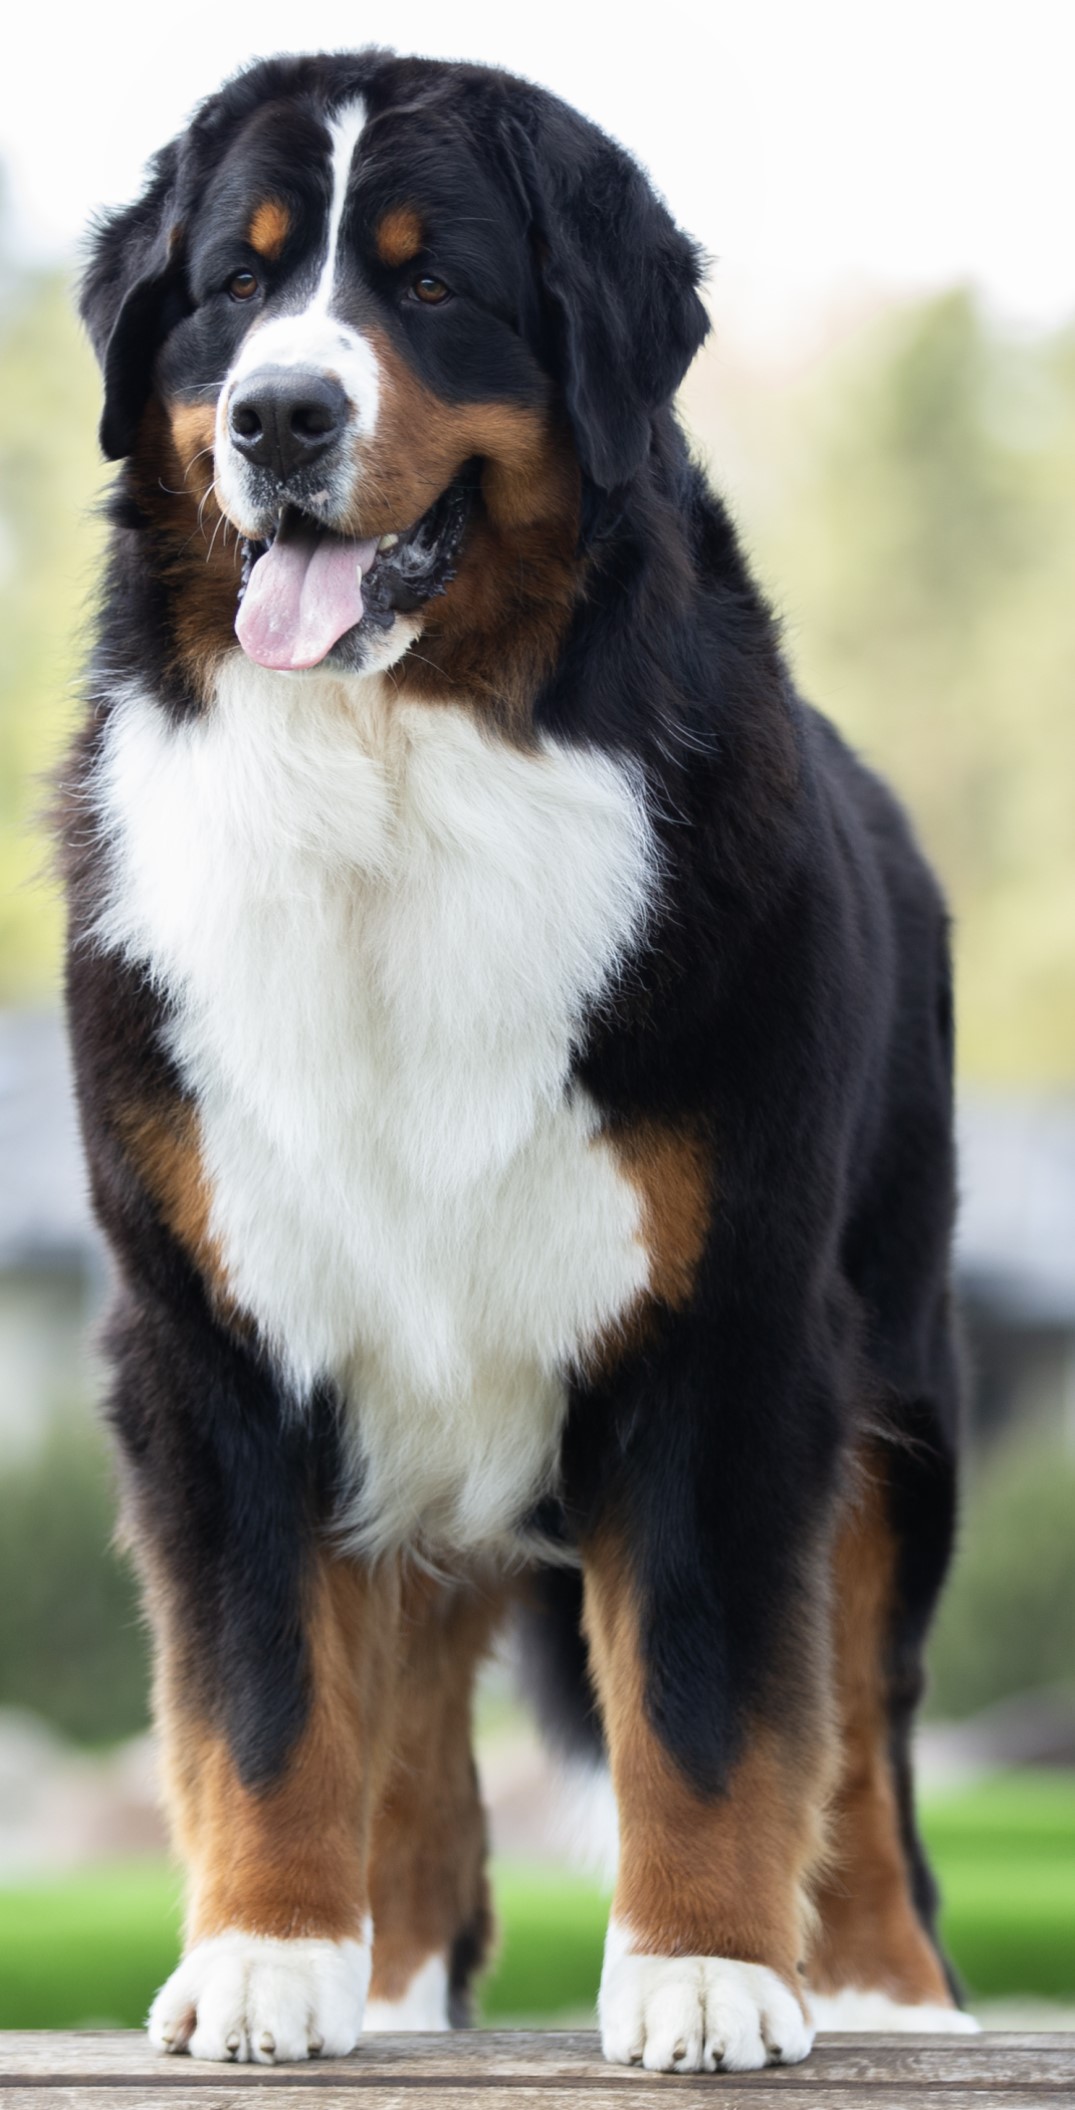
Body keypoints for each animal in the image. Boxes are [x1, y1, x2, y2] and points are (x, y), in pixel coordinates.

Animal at [62, 49, 978, 2072]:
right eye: (234, 285)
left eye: (431, 285)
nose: (284, 414)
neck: (397, 773)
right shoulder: (218, 1327)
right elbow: (268, 1689)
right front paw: (266, 1956)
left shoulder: (731, 1327)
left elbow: (716, 1700)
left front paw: (708, 1969)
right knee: (408, 1706)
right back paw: (390, 1977)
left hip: (897, 1381)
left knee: (865, 1719)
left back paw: (885, 1980)